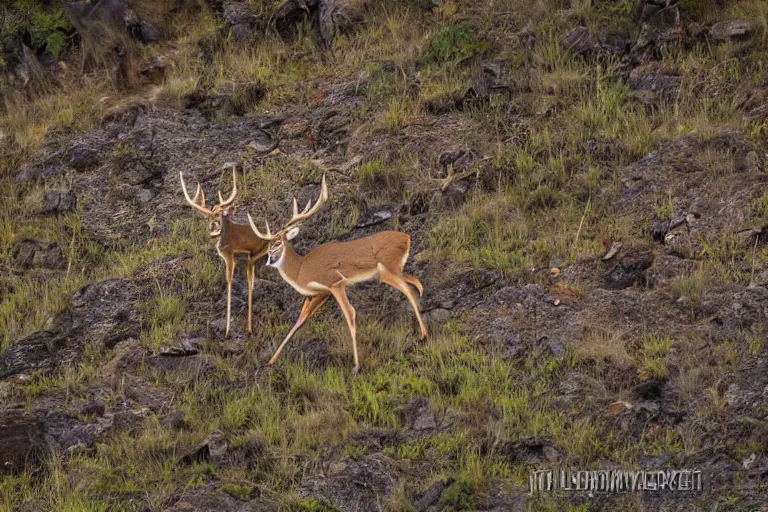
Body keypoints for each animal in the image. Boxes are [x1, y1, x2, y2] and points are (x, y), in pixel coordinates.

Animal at [178, 166, 268, 338]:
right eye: (207, 218)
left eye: (219, 215)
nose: (213, 225)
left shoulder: (229, 254)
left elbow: (229, 280)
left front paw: (227, 330)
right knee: (251, 279)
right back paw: (249, 327)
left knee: (251, 279)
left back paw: (249, 328)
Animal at [246, 175, 426, 372]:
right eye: (269, 246)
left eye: (278, 243)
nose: (269, 260)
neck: (300, 270)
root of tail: (407, 237)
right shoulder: (321, 292)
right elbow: (300, 321)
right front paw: (271, 360)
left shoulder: (334, 282)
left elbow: (350, 314)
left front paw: (356, 365)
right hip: (394, 270)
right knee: (417, 284)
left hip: (387, 268)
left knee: (409, 290)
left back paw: (423, 335)